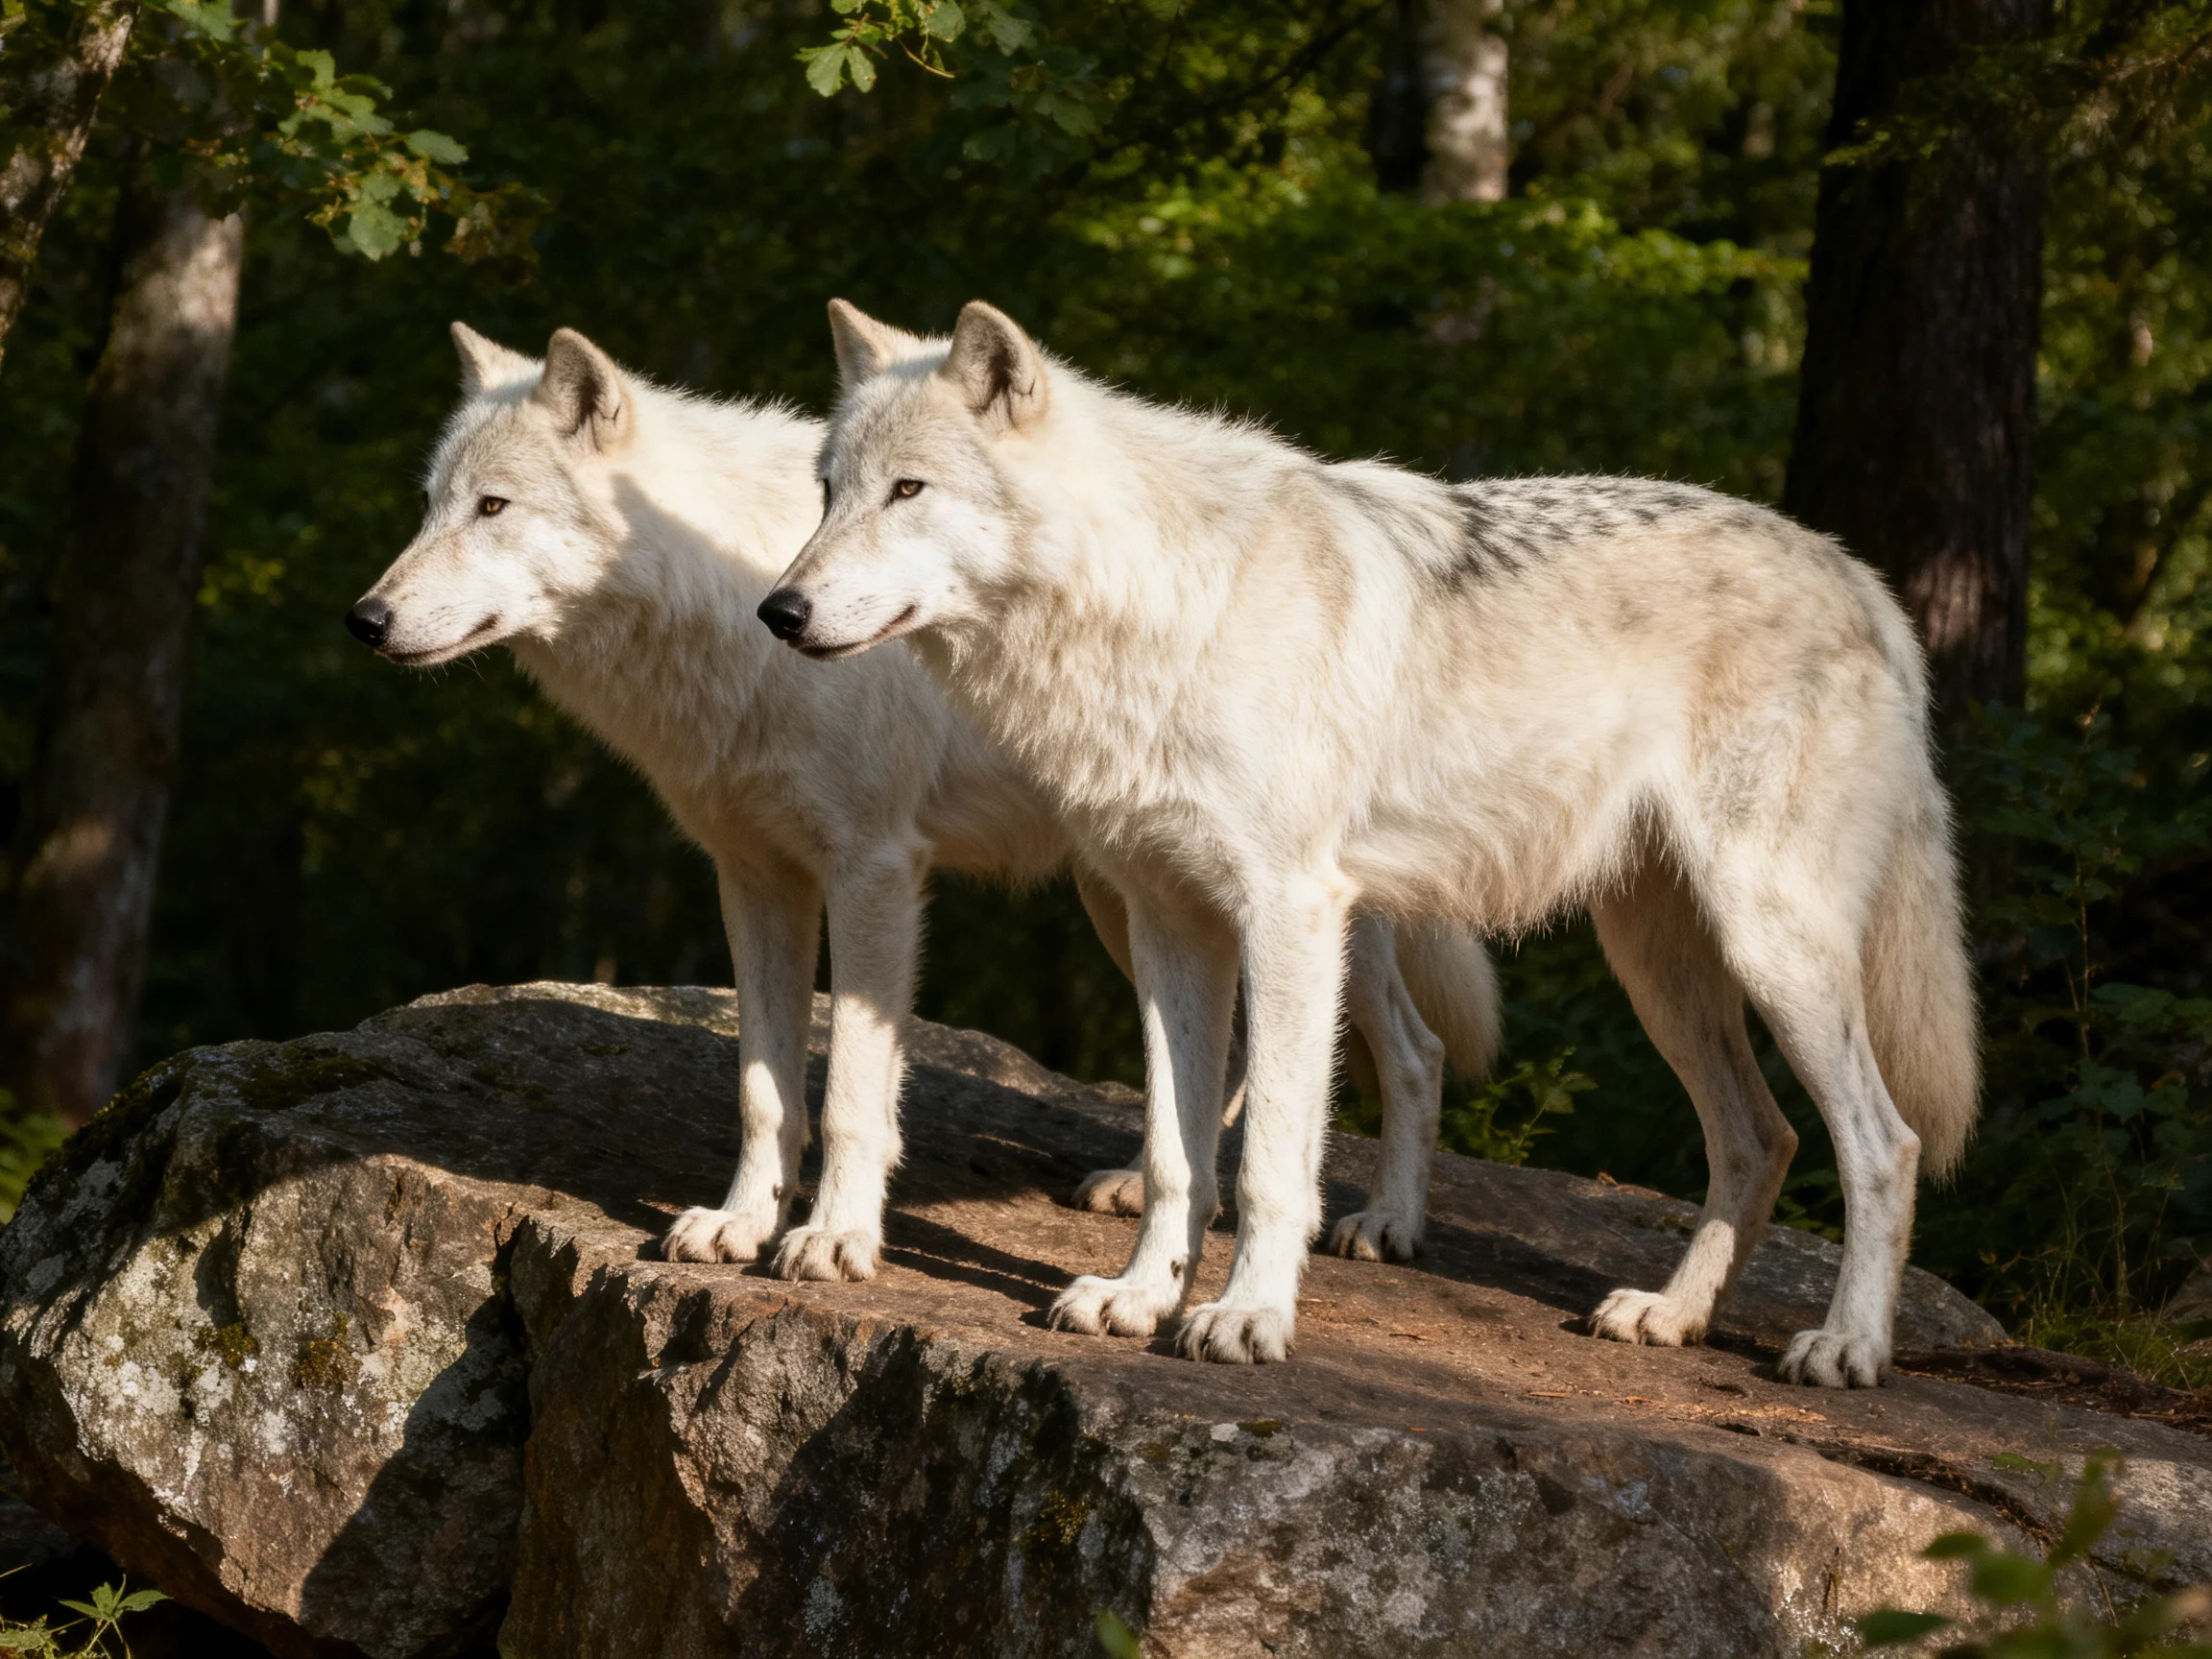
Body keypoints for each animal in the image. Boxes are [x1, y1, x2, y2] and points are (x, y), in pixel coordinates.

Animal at [347, 323, 1499, 1281]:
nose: (362, 618)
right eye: (431, 507)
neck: (728, 609)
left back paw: (1385, 1226)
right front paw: (741, 1225)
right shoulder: (755, 878)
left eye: (493, 508)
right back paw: (1147, 1191)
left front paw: (832, 1241)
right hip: (1135, 896)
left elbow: (853, 1096)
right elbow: (765, 1092)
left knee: (1412, 1052)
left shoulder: (873, 871)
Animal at [761, 300, 1979, 1387]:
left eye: (908, 490)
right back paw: (1671, 1316)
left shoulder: (1290, 912)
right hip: (1662, 971)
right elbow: (1174, 1150)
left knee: (1885, 1144)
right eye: (826, 493)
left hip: (1770, 950)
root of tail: (1863, 581)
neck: (1155, 603)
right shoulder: (1169, 923)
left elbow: (1268, 1162)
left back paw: (1846, 1349)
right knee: (1761, 1139)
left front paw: (1247, 1318)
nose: (779, 612)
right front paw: (1142, 1297)